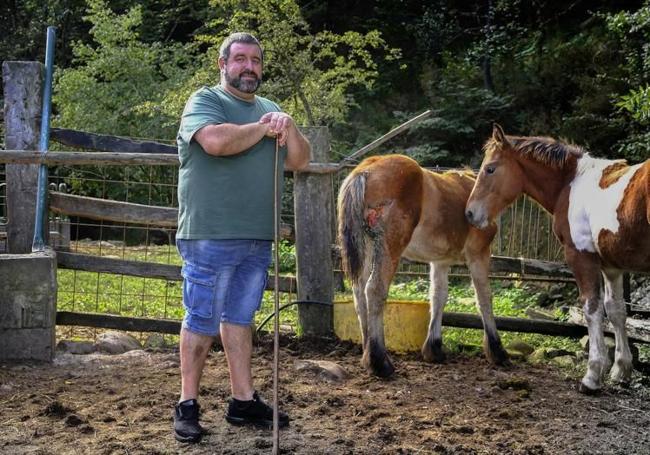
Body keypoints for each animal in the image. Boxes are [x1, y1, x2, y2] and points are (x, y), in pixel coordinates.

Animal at [336, 154, 508, 378]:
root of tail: (364, 171)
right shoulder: (478, 255)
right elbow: (484, 299)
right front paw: (497, 351)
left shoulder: (440, 262)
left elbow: (438, 296)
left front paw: (434, 348)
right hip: (389, 247)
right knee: (374, 290)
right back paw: (380, 362)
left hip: (367, 246)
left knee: (359, 294)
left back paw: (367, 354)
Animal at [464, 124, 644, 396]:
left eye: (490, 168)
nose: (470, 213)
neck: (571, 184)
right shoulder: (611, 266)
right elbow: (616, 311)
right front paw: (621, 370)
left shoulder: (581, 257)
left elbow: (592, 309)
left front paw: (592, 376)